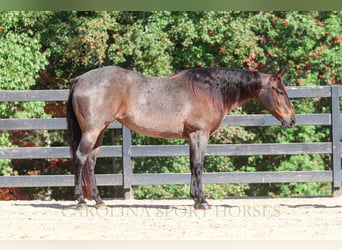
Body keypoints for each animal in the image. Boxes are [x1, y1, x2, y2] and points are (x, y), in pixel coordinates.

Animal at [66, 65, 294, 210]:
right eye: (279, 91)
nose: (291, 119)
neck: (209, 91)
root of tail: (80, 79)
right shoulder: (199, 135)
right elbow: (198, 165)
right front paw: (202, 201)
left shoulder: (192, 137)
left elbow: (192, 165)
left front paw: (195, 198)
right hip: (92, 131)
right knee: (80, 158)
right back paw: (81, 202)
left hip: (100, 131)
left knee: (90, 162)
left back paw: (98, 201)